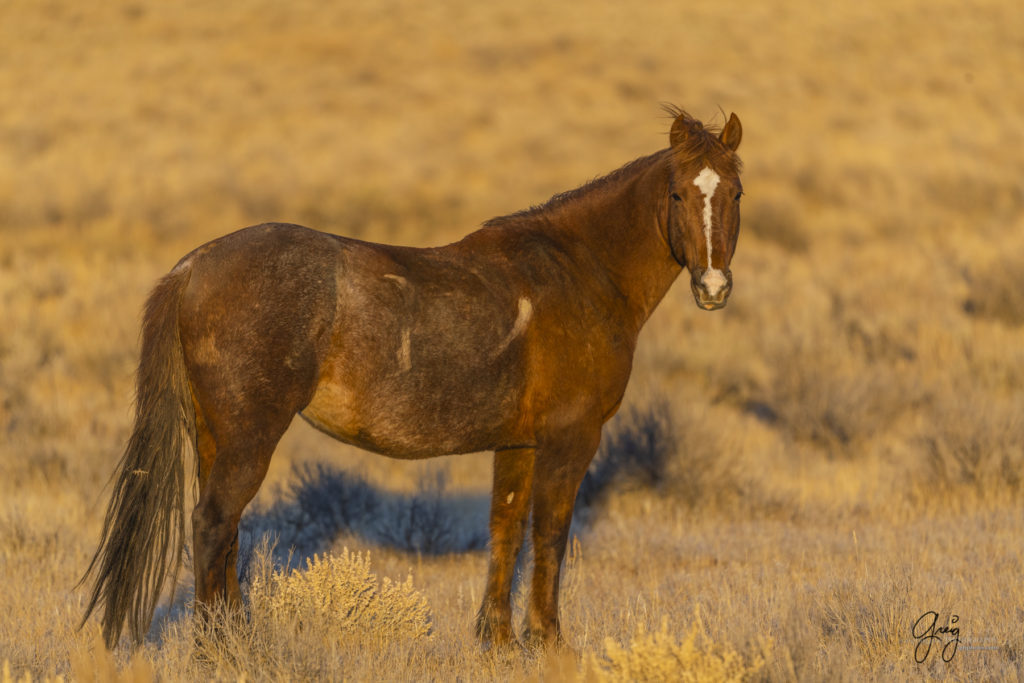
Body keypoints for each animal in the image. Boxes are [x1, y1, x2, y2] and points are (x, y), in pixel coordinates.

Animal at [79, 108, 745, 651]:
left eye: (736, 192)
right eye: (679, 194)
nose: (713, 288)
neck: (580, 271)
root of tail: (193, 266)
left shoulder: (519, 443)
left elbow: (506, 529)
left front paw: (498, 642)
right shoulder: (570, 437)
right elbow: (552, 533)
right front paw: (550, 642)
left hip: (215, 436)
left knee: (227, 531)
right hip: (249, 436)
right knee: (213, 523)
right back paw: (221, 649)